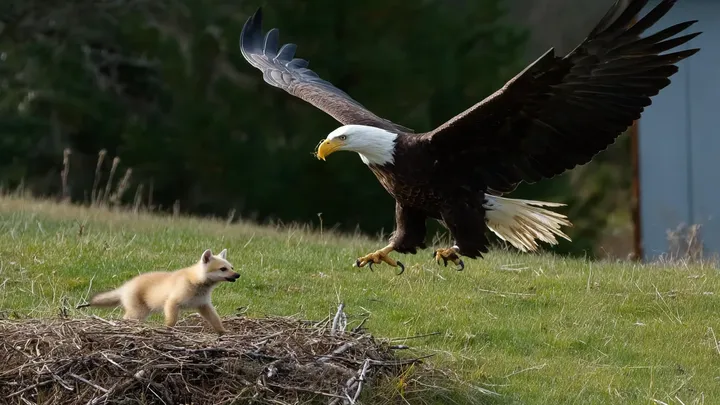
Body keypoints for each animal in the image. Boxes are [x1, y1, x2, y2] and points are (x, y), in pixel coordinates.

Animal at [77, 248, 240, 334]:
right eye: (223, 269)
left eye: (231, 267)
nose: (238, 275)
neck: (196, 283)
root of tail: (125, 287)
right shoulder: (172, 303)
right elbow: (171, 322)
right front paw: (167, 332)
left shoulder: (203, 305)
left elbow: (216, 320)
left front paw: (223, 333)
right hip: (137, 313)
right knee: (125, 319)